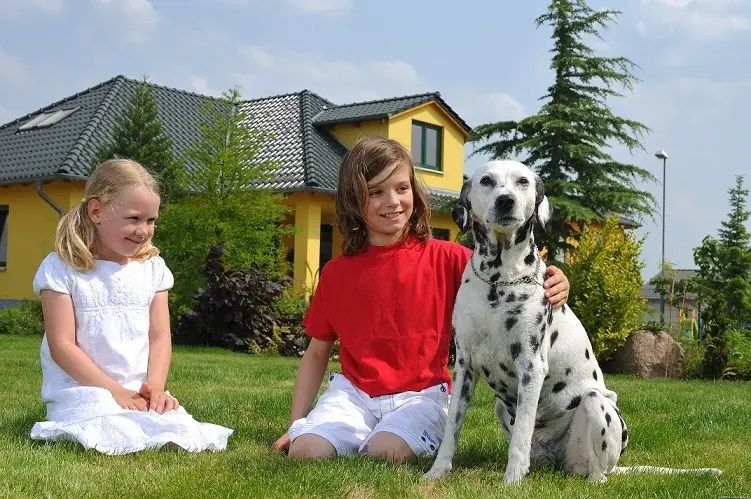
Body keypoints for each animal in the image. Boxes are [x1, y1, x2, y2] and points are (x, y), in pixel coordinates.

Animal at [424, 160, 724, 484]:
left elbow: (520, 437)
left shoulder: (531, 367)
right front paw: (437, 471)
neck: (499, 279)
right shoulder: (465, 366)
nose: (506, 201)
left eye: (522, 181)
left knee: (596, 471)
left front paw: (512, 481)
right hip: (501, 408)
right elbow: (452, 429)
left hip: (596, 404)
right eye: (487, 181)